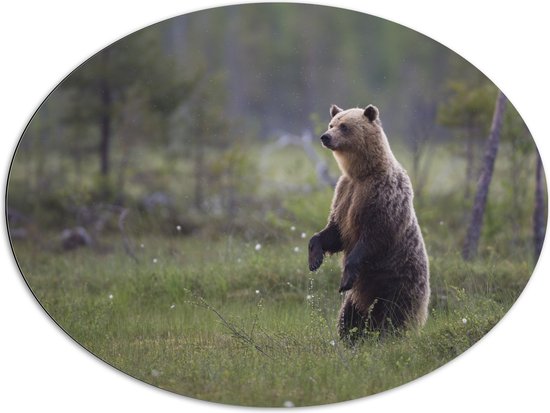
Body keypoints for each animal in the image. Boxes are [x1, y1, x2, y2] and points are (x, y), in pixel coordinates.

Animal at [310, 104, 432, 342]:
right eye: (332, 123)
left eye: (344, 126)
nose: (325, 136)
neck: (363, 173)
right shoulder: (344, 194)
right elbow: (333, 233)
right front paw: (314, 259)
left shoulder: (382, 196)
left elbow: (374, 236)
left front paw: (345, 278)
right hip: (361, 296)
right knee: (349, 316)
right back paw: (353, 338)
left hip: (398, 284)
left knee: (394, 316)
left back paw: (388, 337)